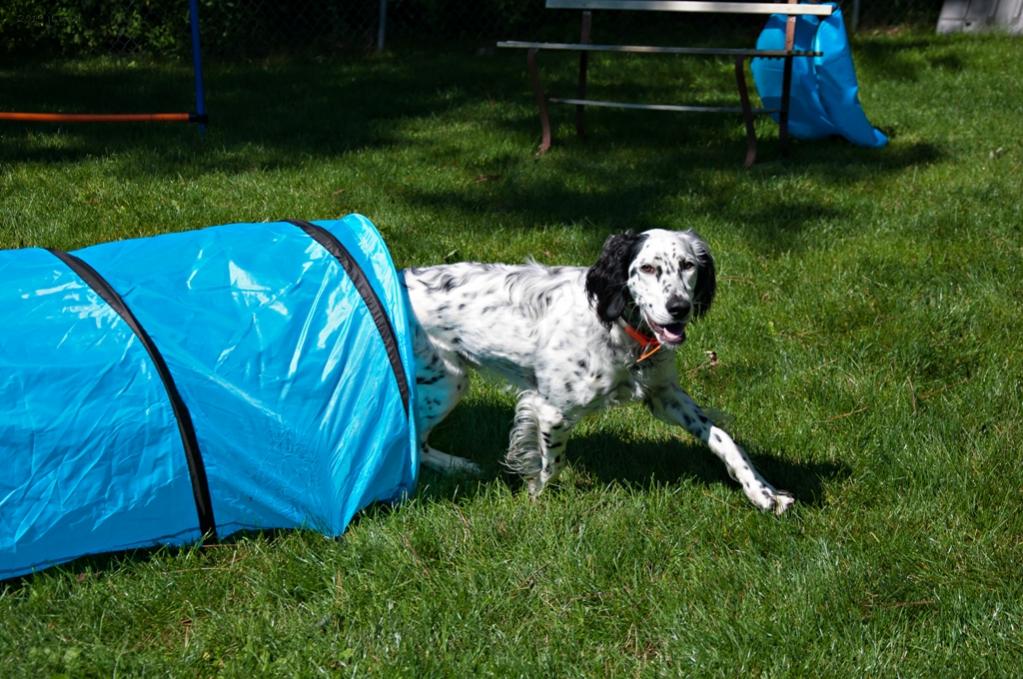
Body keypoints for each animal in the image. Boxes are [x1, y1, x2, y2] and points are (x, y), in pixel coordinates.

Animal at [403, 228, 793, 515]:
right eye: (647, 268)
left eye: (687, 265)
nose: (679, 308)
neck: (618, 327)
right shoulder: (551, 410)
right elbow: (552, 464)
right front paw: (535, 495)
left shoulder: (664, 395)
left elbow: (725, 439)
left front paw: (763, 491)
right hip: (448, 383)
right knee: (416, 442)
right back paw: (455, 465)